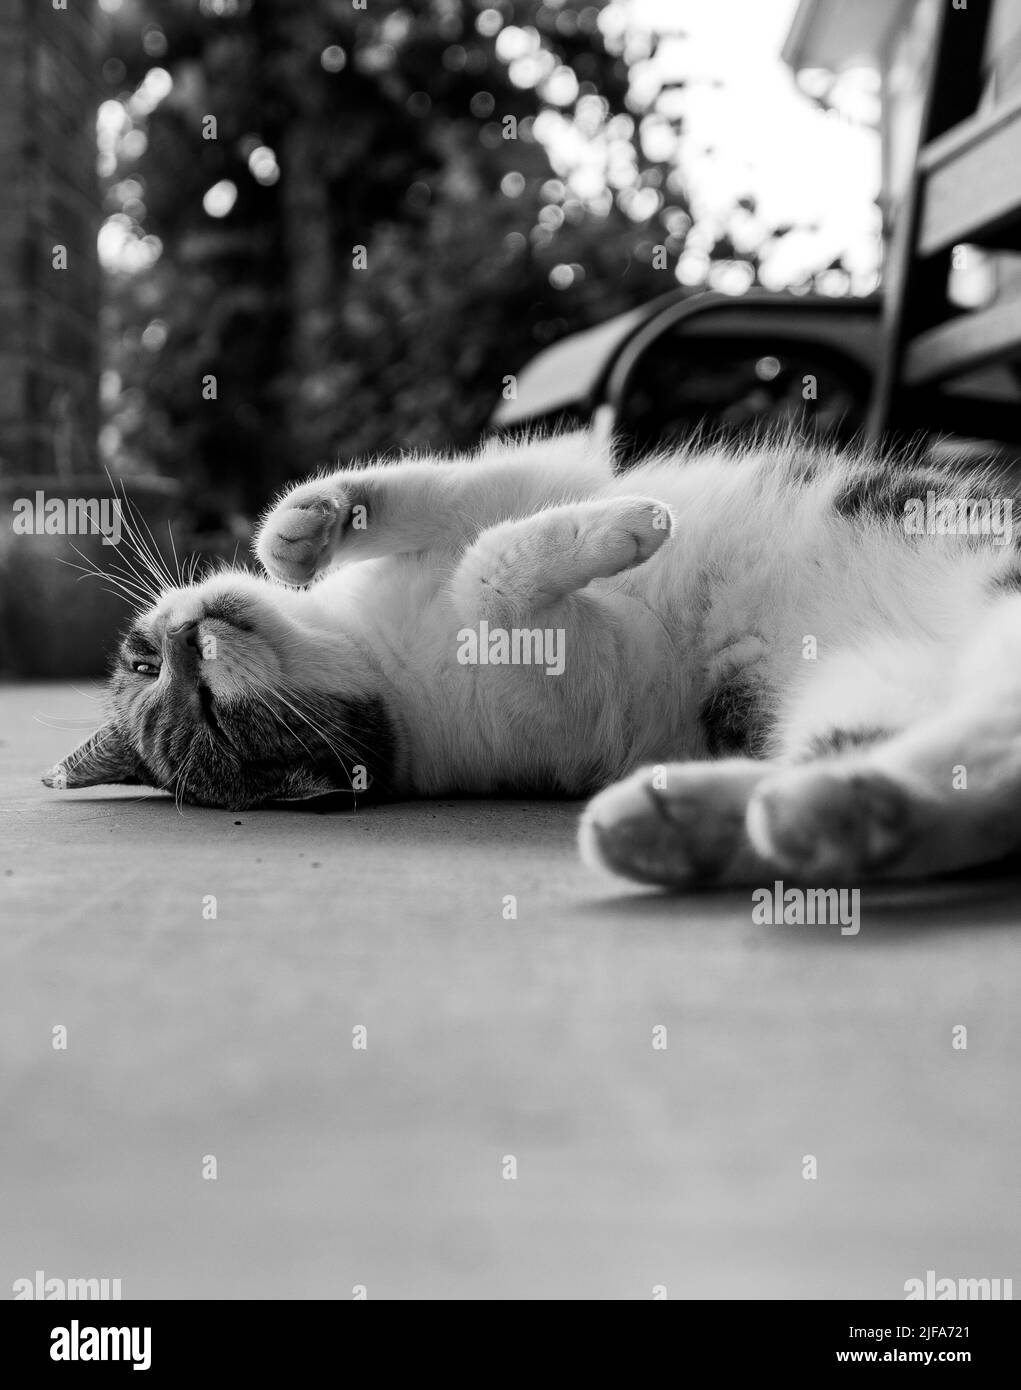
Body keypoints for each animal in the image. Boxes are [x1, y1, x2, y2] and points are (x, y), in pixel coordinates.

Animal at [45, 430, 1021, 889]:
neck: (381, 648)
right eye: (211, 719)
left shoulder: (541, 479)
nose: (183, 639)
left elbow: (457, 493)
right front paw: (631, 526)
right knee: (985, 761)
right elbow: (492, 573)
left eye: (144, 665)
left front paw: (300, 529)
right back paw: (716, 823)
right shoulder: (575, 677)